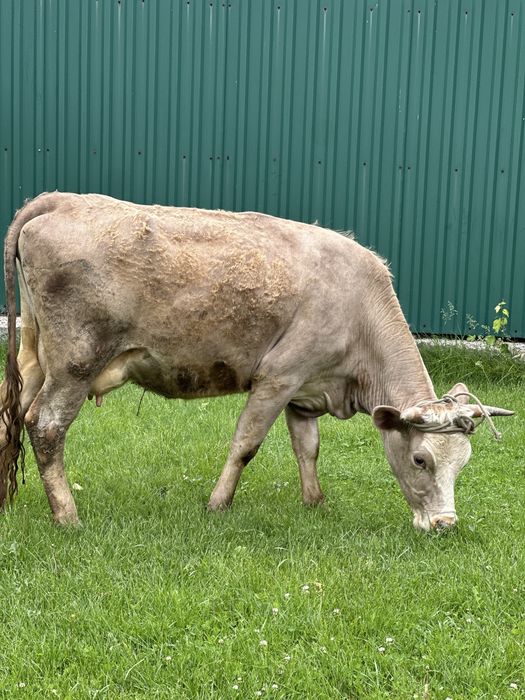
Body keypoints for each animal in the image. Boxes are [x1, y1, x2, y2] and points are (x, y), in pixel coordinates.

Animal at [0, 192, 514, 529]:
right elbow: (245, 444)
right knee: (46, 425)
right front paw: (217, 505)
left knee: (11, 416)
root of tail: (59, 200)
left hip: (35, 358)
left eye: (463, 463)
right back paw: (67, 517)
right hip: (75, 363)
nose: (445, 524)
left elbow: (308, 448)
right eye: (421, 459)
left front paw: (315, 504)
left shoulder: (305, 391)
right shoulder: (277, 377)